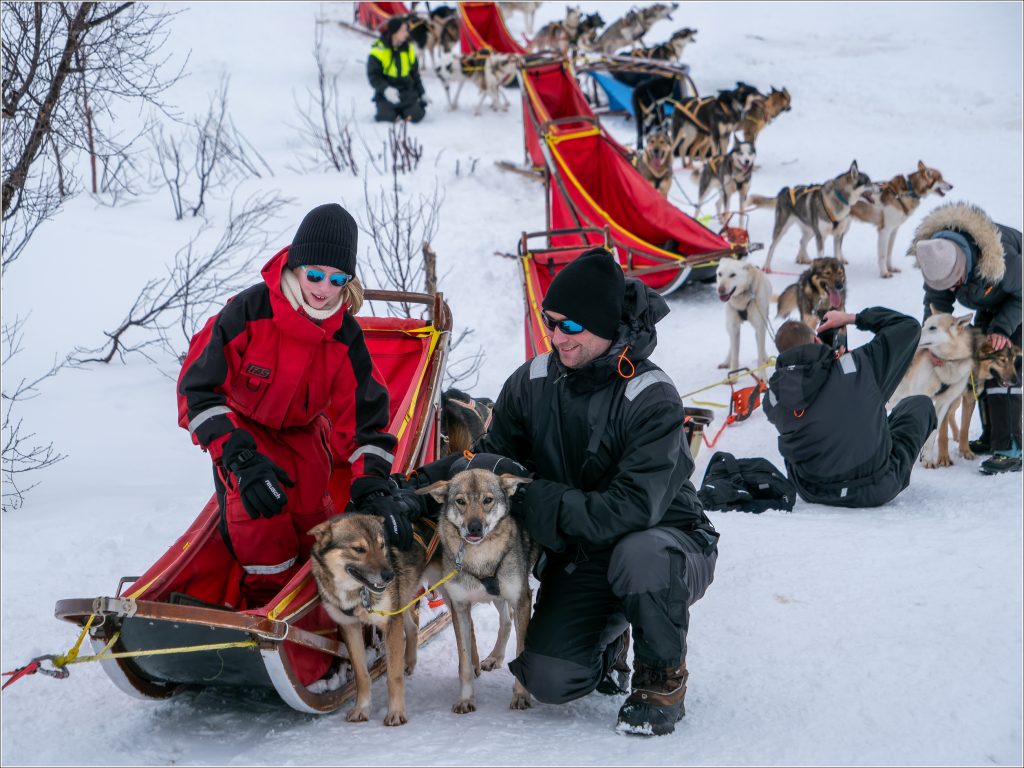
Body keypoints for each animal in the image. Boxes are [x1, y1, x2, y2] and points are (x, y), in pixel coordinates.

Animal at [309, 513, 430, 725]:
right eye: (359, 549)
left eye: (381, 545)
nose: (389, 575)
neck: (356, 593)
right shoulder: (350, 627)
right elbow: (361, 676)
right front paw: (362, 708)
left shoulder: (390, 624)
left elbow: (393, 676)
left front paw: (396, 712)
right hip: (403, 600)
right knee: (413, 627)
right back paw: (409, 661)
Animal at [420, 468, 539, 713]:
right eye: (460, 501)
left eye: (487, 500)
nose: (474, 527)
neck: (480, 558)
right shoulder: (460, 608)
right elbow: (465, 662)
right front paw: (466, 699)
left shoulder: (522, 599)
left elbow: (521, 651)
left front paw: (521, 695)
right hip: (497, 596)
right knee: (506, 620)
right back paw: (495, 657)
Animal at [889, 308, 979, 468]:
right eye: (924, 325)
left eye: (932, 328)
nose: (916, 332)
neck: (946, 363)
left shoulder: (944, 403)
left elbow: (932, 436)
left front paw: (927, 459)